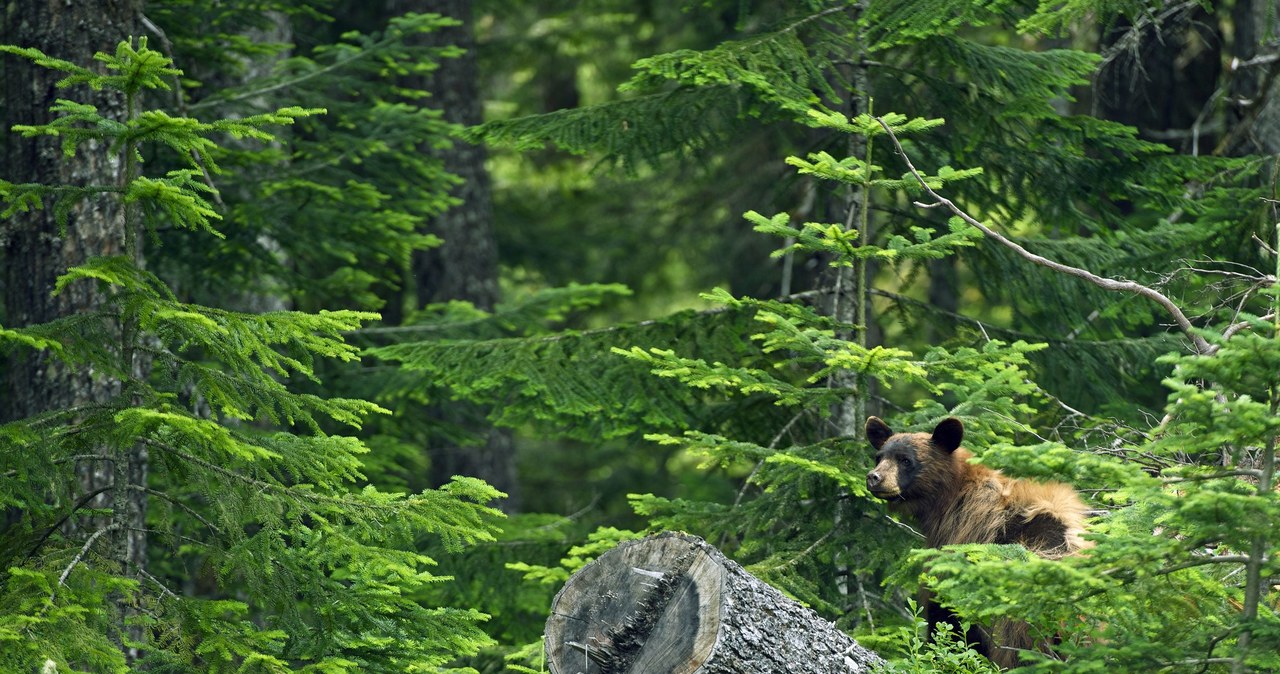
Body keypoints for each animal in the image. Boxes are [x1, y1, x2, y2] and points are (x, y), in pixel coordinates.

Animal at [865, 416, 1085, 670]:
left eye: (905, 460)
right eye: (879, 457)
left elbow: (947, 613)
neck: (947, 499)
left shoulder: (959, 544)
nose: (874, 477)